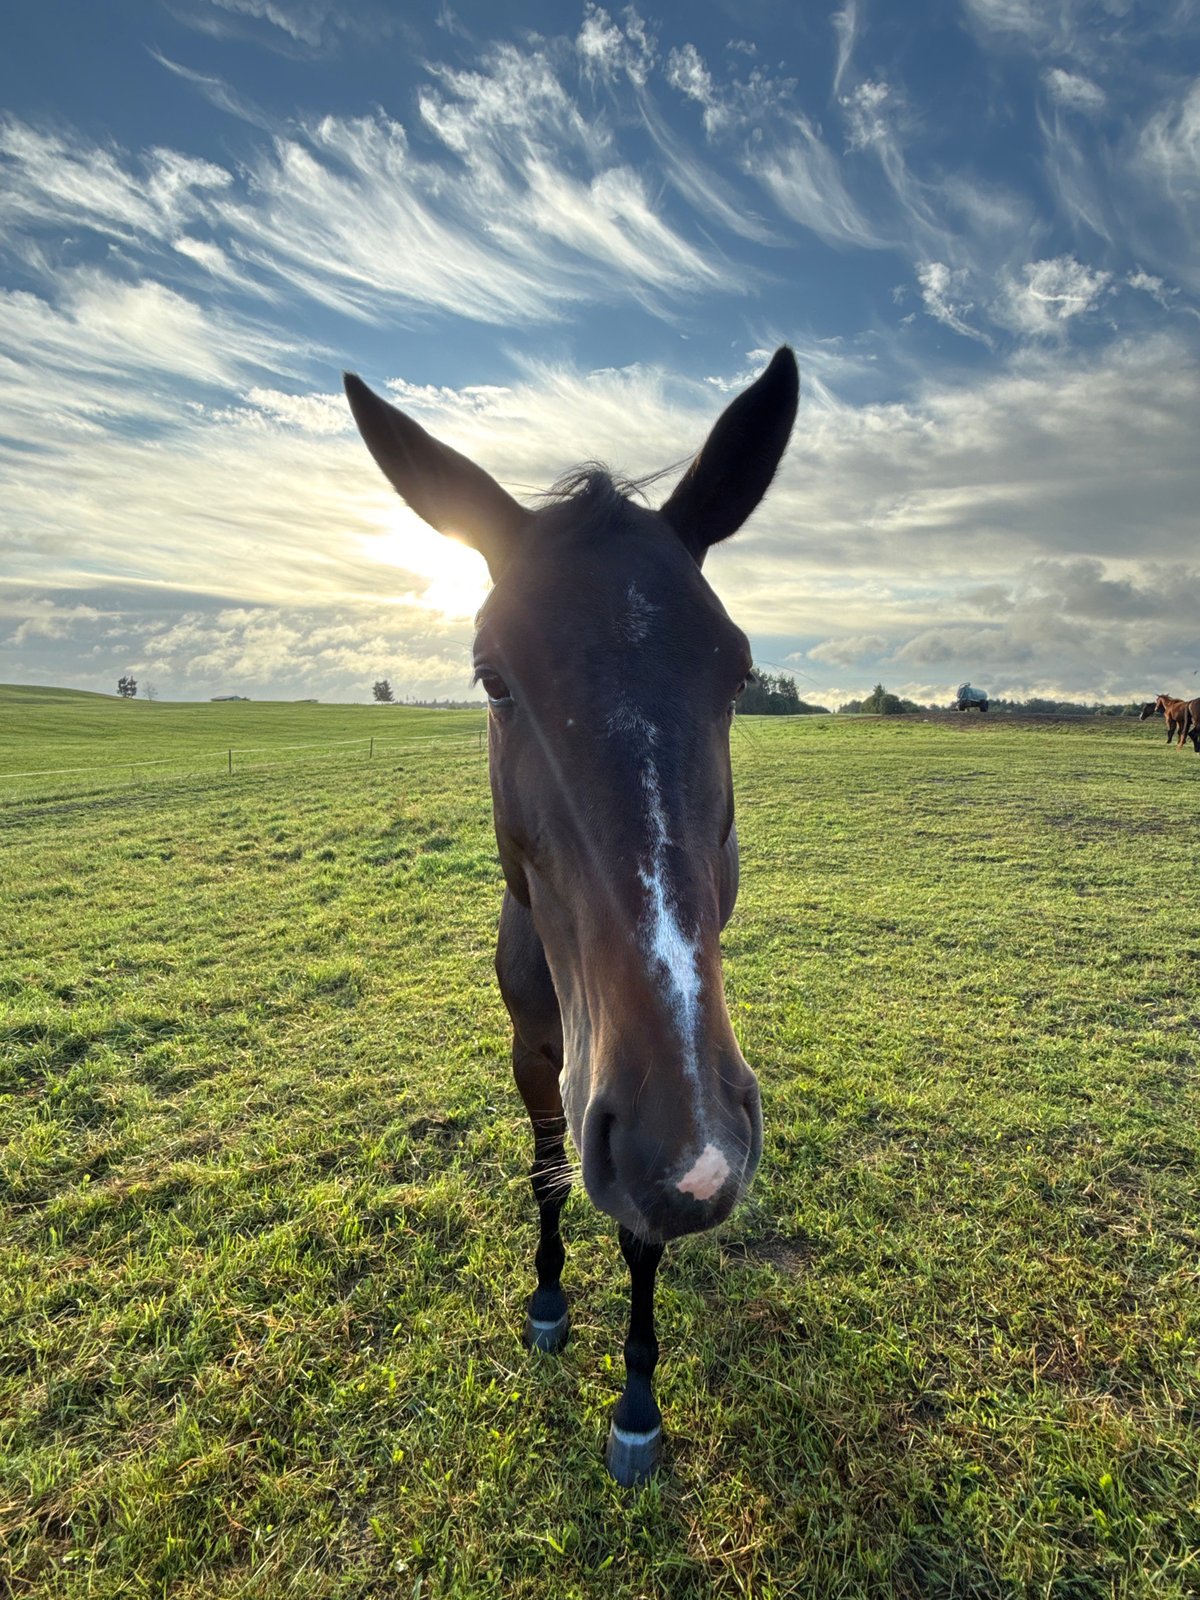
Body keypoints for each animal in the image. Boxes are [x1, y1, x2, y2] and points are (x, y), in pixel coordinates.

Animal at [344, 349, 798, 1484]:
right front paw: (548, 1301)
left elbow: (638, 1231)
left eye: (736, 672)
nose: (692, 1142)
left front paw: (636, 1404)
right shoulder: (536, 1050)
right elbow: (549, 1173)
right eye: (492, 679)